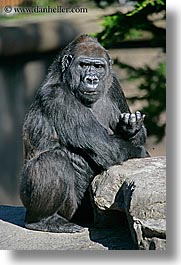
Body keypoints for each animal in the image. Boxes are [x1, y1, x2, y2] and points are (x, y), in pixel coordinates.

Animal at [19, 34, 149, 232]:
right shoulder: (58, 96)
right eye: (83, 65)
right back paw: (43, 220)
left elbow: (134, 137)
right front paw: (140, 151)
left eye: (98, 67)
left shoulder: (114, 83)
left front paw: (131, 129)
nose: (92, 79)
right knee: (52, 160)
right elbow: (110, 148)